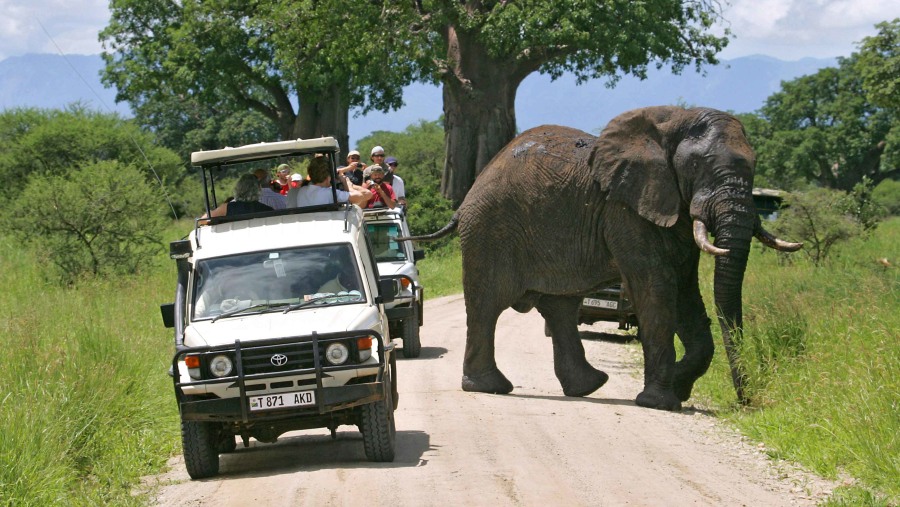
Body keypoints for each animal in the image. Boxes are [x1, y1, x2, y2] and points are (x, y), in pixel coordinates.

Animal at [404, 107, 800, 412]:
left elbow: (687, 293)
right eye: (697, 165)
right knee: (488, 305)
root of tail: (468, 195)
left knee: (560, 308)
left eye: (755, 165)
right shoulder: (624, 210)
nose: (745, 402)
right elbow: (657, 289)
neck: (673, 121)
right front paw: (660, 402)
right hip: (490, 231)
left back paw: (587, 387)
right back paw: (490, 388)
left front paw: (678, 387)